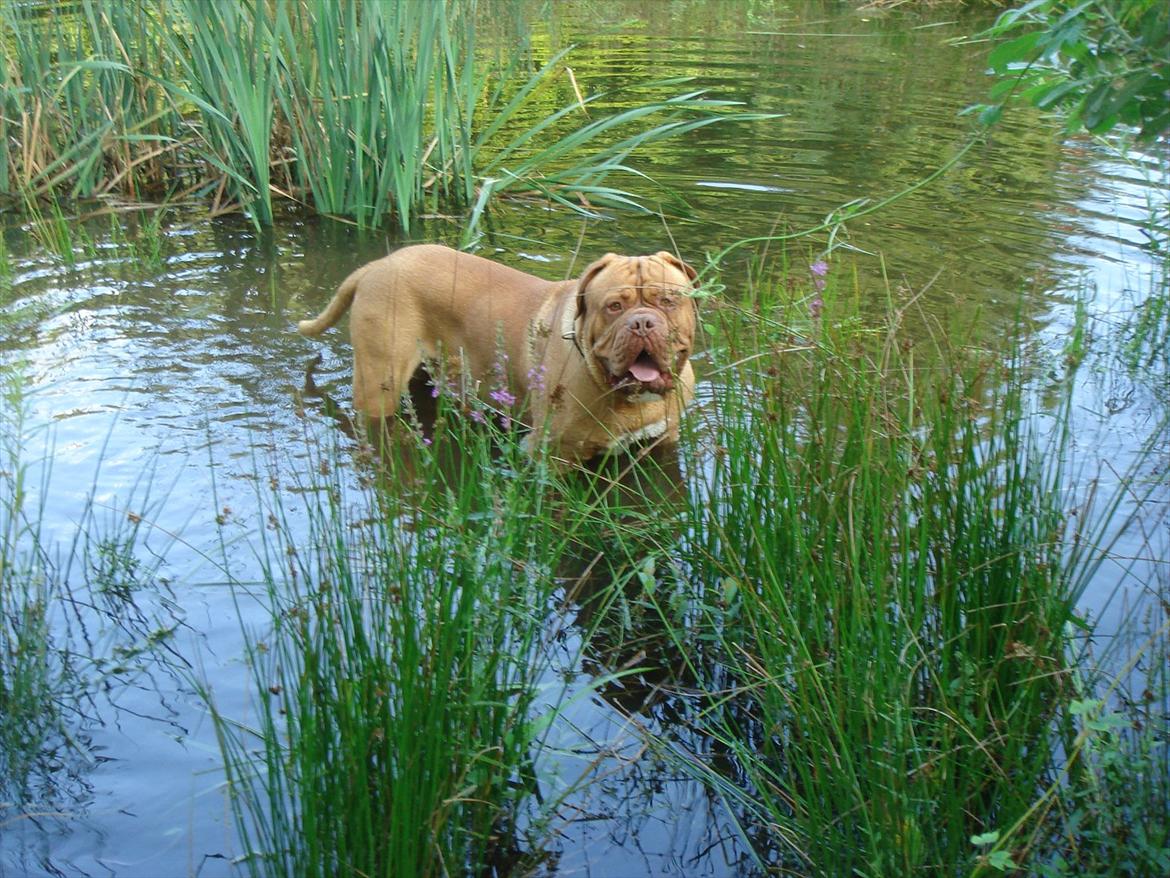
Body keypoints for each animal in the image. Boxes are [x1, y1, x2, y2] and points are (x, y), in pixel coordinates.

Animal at [297, 241, 697, 461]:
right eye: (614, 306)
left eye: (668, 300)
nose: (642, 322)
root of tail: (376, 265)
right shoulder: (552, 455)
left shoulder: (664, 442)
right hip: (379, 382)